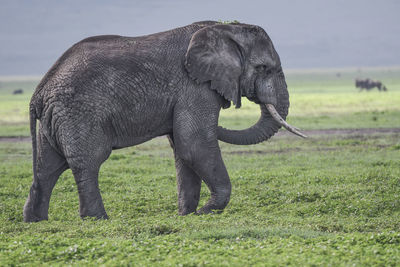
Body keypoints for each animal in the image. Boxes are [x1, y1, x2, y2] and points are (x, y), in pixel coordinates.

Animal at [23, 19, 304, 223]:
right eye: (263, 68)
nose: (200, 211)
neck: (226, 28)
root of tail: (39, 93)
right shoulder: (195, 86)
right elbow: (193, 144)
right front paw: (205, 212)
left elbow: (183, 149)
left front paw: (188, 215)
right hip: (78, 113)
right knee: (88, 162)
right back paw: (98, 219)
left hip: (56, 118)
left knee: (47, 168)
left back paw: (35, 221)